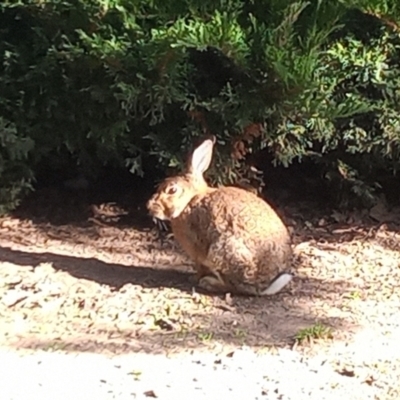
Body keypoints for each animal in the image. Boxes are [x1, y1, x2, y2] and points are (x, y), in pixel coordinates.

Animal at [147, 136, 294, 296]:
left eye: (172, 190)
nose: (149, 206)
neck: (190, 200)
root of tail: (261, 288)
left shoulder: (197, 251)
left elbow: (200, 268)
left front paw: (194, 278)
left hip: (222, 252)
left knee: (233, 287)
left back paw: (208, 283)